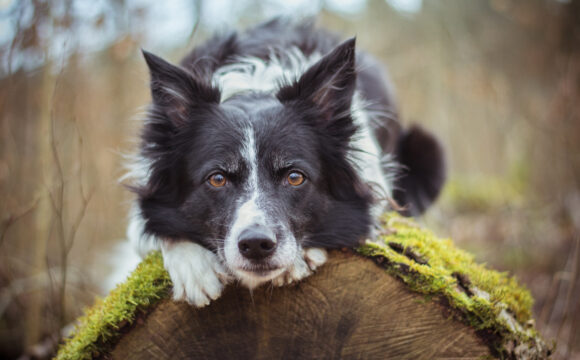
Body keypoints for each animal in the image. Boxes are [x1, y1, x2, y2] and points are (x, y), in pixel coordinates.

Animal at [125, 17, 444, 306]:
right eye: (217, 179)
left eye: (295, 177)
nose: (256, 245)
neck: (253, 89)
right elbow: (151, 226)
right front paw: (194, 267)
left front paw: (301, 256)